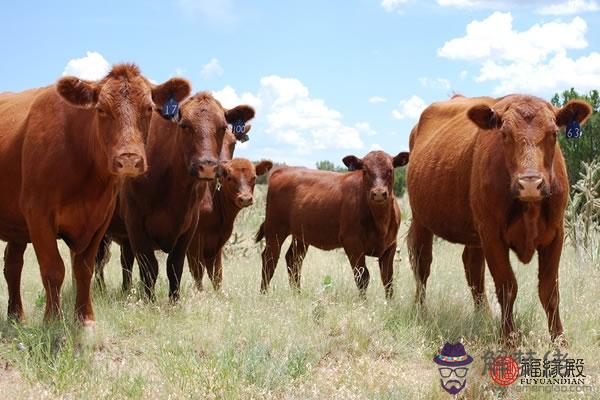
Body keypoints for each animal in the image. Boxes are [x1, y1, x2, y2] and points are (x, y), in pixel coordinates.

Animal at [0, 63, 190, 324]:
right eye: (101, 109)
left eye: (149, 108)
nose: (129, 160)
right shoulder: (38, 214)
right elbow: (53, 269)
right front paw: (53, 319)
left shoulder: (100, 219)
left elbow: (84, 268)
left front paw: (85, 318)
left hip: (16, 227)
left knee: (12, 264)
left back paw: (16, 315)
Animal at [94, 93, 255, 300]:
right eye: (184, 125)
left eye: (223, 129)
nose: (209, 166)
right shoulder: (136, 223)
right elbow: (150, 268)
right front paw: (150, 301)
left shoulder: (189, 227)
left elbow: (175, 267)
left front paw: (174, 302)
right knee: (98, 261)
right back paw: (100, 290)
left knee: (125, 262)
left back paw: (126, 291)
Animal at [186, 157, 274, 290]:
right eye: (229, 178)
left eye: (254, 177)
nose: (245, 199)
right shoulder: (194, 243)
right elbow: (197, 273)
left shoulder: (216, 245)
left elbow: (217, 275)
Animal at [255, 151, 410, 300]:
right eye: (365, 170)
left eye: (391, 170)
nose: (378, 193)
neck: (380, 221)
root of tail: (283, 170)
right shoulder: (352, 243)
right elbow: (362, 277)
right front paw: (363, 303)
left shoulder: (390, 246)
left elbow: (388, 279)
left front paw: (389, 303)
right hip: (275, 229)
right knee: (270, 259)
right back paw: (263, 294)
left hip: (301, 236)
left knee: (293, 260)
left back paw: (297, 294)